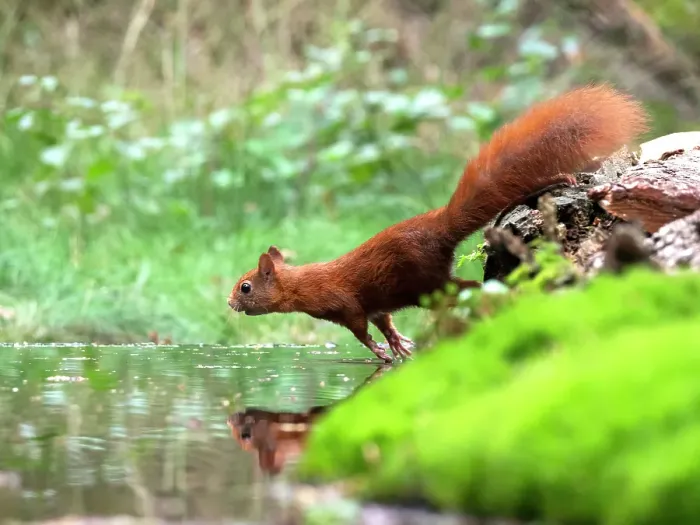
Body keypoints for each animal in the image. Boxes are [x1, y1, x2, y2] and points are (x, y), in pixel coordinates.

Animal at [228, 85, 649, 363]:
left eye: (245, 286)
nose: (230, 303)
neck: (305, 285)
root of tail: (440, 225)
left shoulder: (344, 304)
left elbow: (362, 331)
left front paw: (381, 350)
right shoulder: (377, 307)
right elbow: (385, 321)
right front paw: (399, 344)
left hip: (426, 280)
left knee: (468, 289)